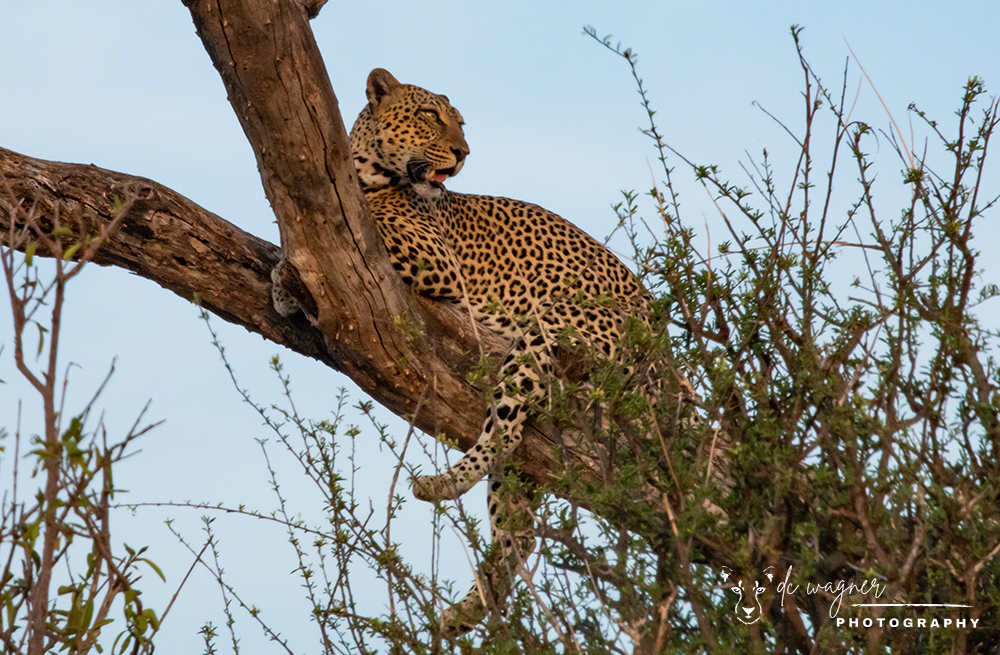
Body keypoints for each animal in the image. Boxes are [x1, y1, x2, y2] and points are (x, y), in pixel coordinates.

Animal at [272, 68, 651, 635]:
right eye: (431, 116)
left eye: (461, 124)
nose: (464, 153)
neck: (364, 177)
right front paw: (281, 285)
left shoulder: (433, 258)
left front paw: (282, 267)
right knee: (520, 528)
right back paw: (462, 615)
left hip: (553, 323)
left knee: (505, 429)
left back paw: (440, 485)